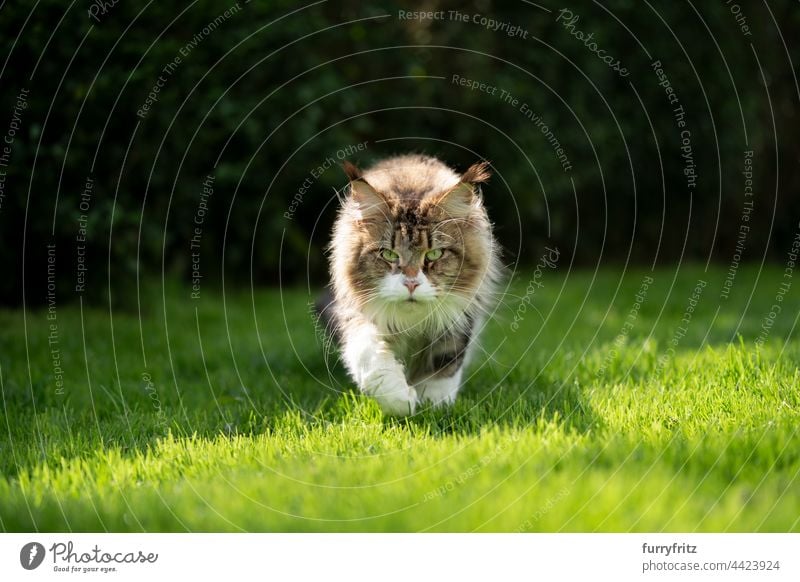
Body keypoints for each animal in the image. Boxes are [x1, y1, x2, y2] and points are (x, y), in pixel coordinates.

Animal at [324, 154, 500, 416]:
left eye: (435, 254)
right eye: (388, 254)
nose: (411, 283)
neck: (411, 323)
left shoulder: (458, 317)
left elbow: (444, 365)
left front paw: (434, 405)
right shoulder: (356, 313)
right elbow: (370, 358)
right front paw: (400, 400)